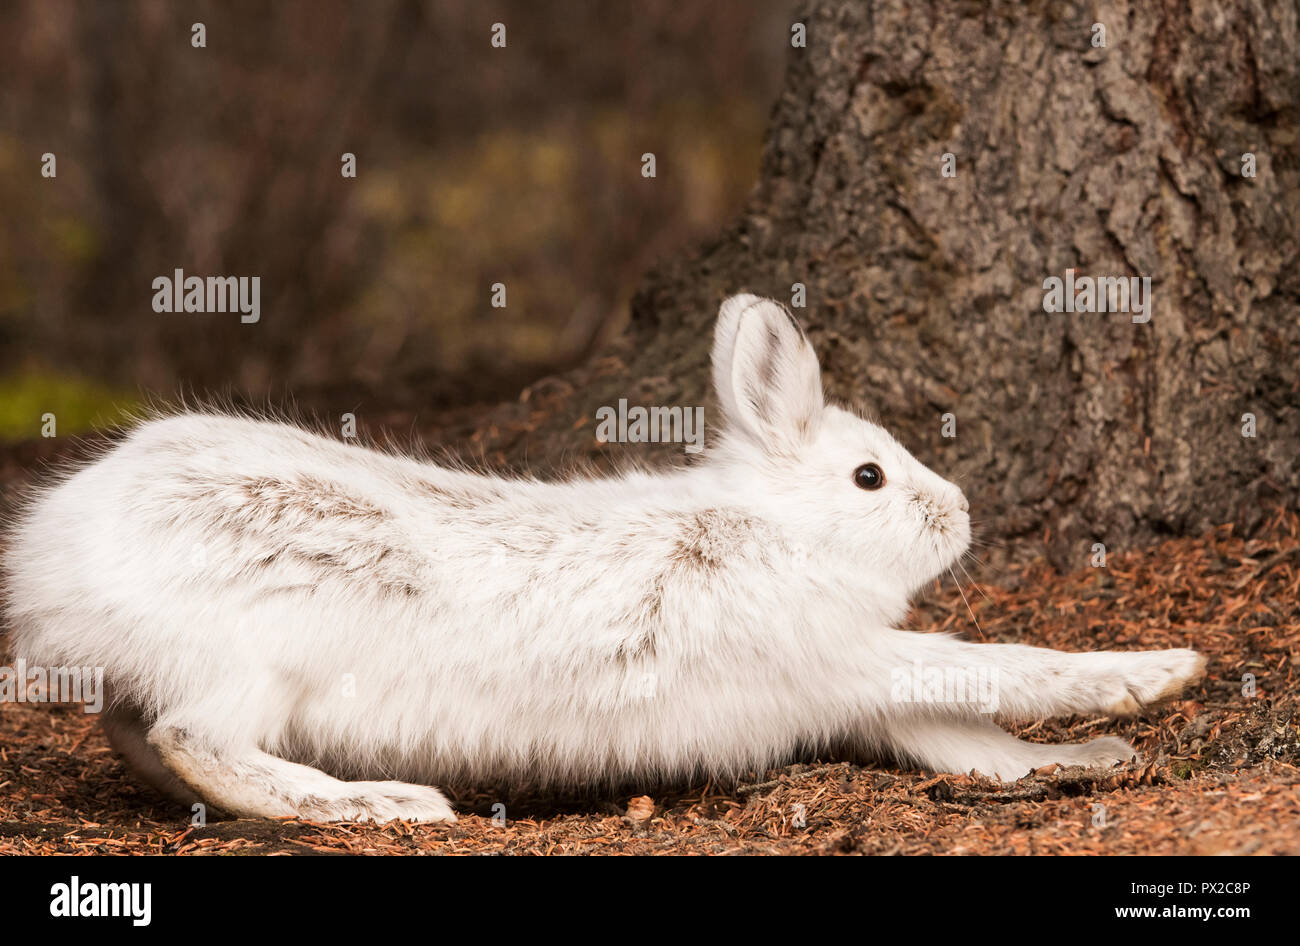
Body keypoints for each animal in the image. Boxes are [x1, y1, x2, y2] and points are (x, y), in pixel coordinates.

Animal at [2, 294, 1206, 823]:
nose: (956, 512)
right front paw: (1159, 672)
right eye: (869, 477)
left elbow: (967, 738)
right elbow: (994, 665)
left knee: (142, 733)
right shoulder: (831, 650)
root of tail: (47, 556)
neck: (773, 529)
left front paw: (1091, 759)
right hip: (261, 653)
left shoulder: (848, 682)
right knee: (197, 737)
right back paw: (384, 806)